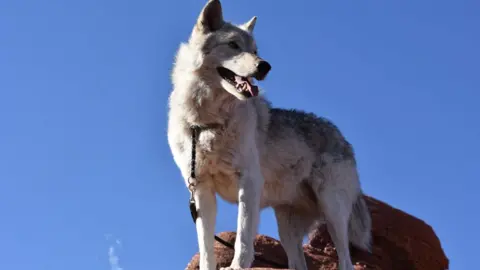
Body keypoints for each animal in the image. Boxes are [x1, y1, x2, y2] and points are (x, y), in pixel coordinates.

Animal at [167, 1, 374, 268]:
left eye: (255, 50)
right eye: (233, 44)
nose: (265, 66)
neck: (207, 123)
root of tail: (343, 138)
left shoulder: (249, 182)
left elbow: (243, 237)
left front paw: (237, 266)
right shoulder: (201, 190)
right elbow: (205, 248)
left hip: (333, 210)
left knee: (346, 261)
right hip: (287, 228)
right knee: (299, 264)